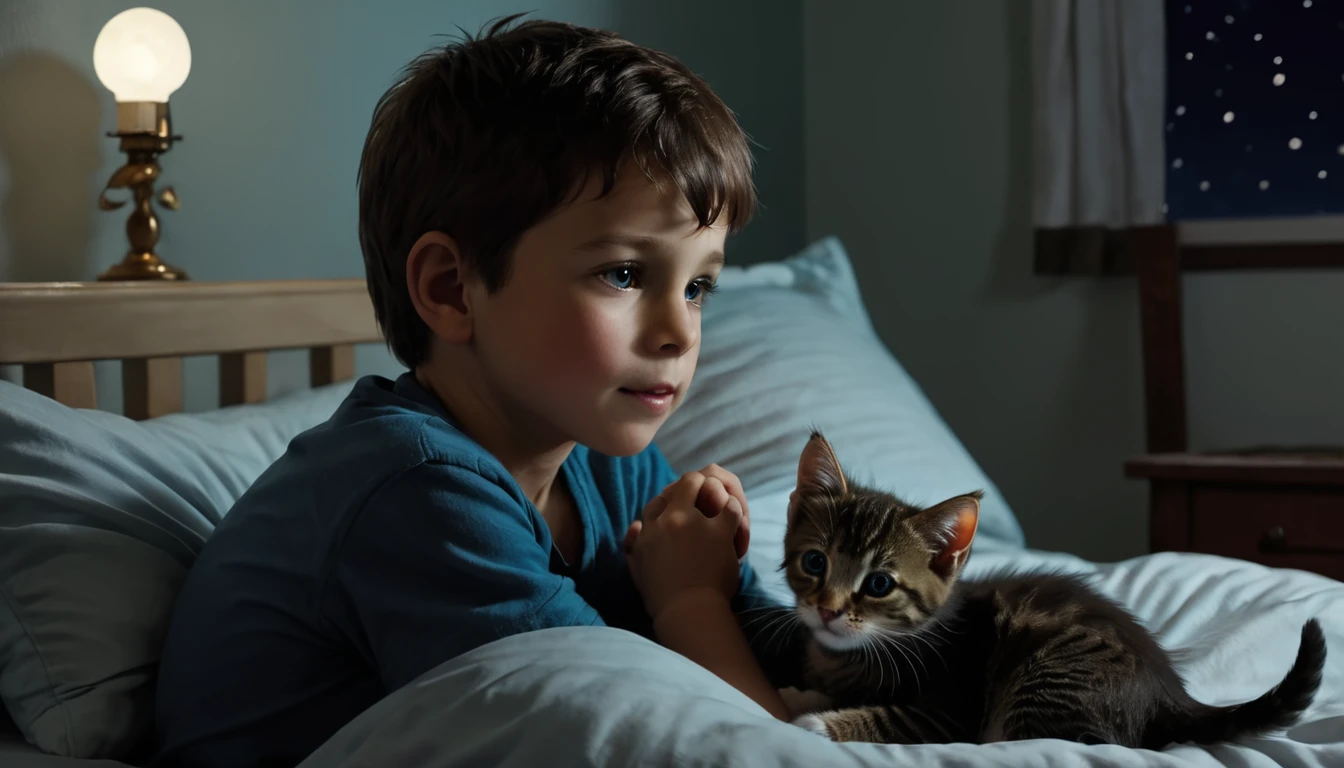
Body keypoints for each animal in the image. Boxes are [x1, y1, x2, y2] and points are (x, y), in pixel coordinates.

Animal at [763, 435, 1327, 747]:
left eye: (879, 584)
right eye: (815, 562)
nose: (828, 610)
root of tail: (1171, 696)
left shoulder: (950, 708)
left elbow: (889, 716)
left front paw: (812, 723)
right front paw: (801, 691)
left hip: (1052, 678)